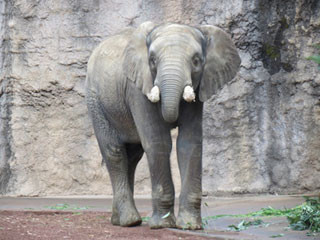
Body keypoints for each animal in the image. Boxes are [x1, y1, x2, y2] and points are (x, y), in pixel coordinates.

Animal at [85, 22, 240, 229]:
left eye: (196, 61)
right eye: (152, 61)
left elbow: (189, 144)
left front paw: (190, 225)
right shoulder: (137, 89)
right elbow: (158, 142)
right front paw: (162, 225)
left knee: (132, 157)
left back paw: (119, 220)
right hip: (96, 101)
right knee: (114, 153)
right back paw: (130, 221)